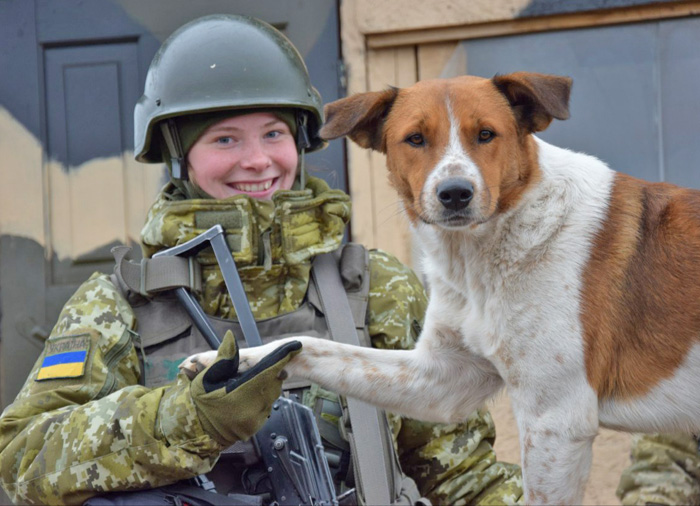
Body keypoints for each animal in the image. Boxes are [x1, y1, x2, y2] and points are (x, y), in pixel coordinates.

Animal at [182, 72, 700, 506]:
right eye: (415, 139)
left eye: (486, 134)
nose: (454, 193)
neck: (481, 256)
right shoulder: (443, 379)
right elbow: (315, 346)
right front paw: (234, 363)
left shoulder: (557, 420)